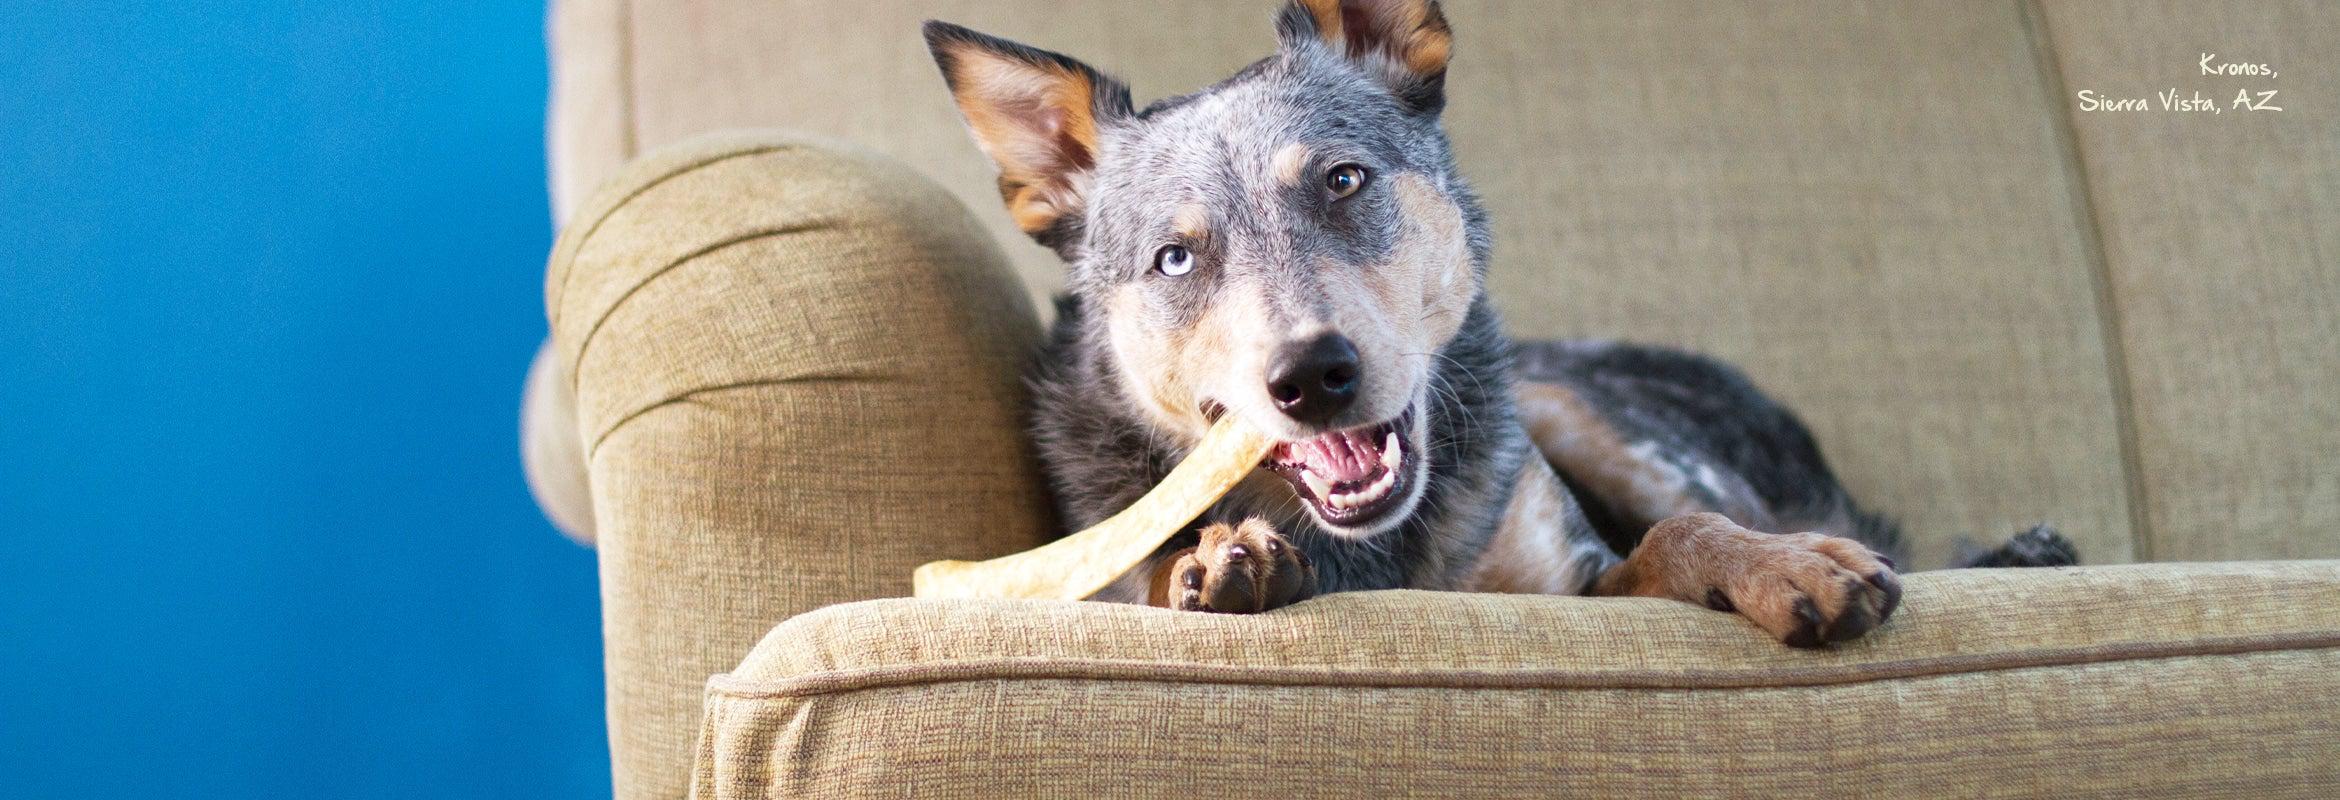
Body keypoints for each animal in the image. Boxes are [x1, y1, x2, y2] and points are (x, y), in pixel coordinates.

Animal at [921, 0, 2077, 645]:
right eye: (1175, 258)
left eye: (1343, 180)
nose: (1313, 375)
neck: (1376, 554)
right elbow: (1163, 568)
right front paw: (1219, 562)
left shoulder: (1578, 582)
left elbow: (1683, 535)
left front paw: (1788, 568)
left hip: (1575, 407)